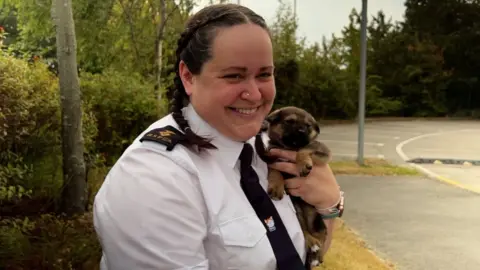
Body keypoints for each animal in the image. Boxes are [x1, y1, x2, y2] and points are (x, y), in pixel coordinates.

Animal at [256, 106, 332, 268]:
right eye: (289, 121)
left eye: (308, 126)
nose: (302, 131)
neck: (289, 147)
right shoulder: (272, 157)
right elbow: (275, 170)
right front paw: (276, 185)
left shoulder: (321, 149)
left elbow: (305, 148)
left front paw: (303, 163)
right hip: (298, 211)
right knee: (305, 231)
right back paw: (311, 244)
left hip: (315, 217)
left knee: (321, 234)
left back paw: (317, 253)